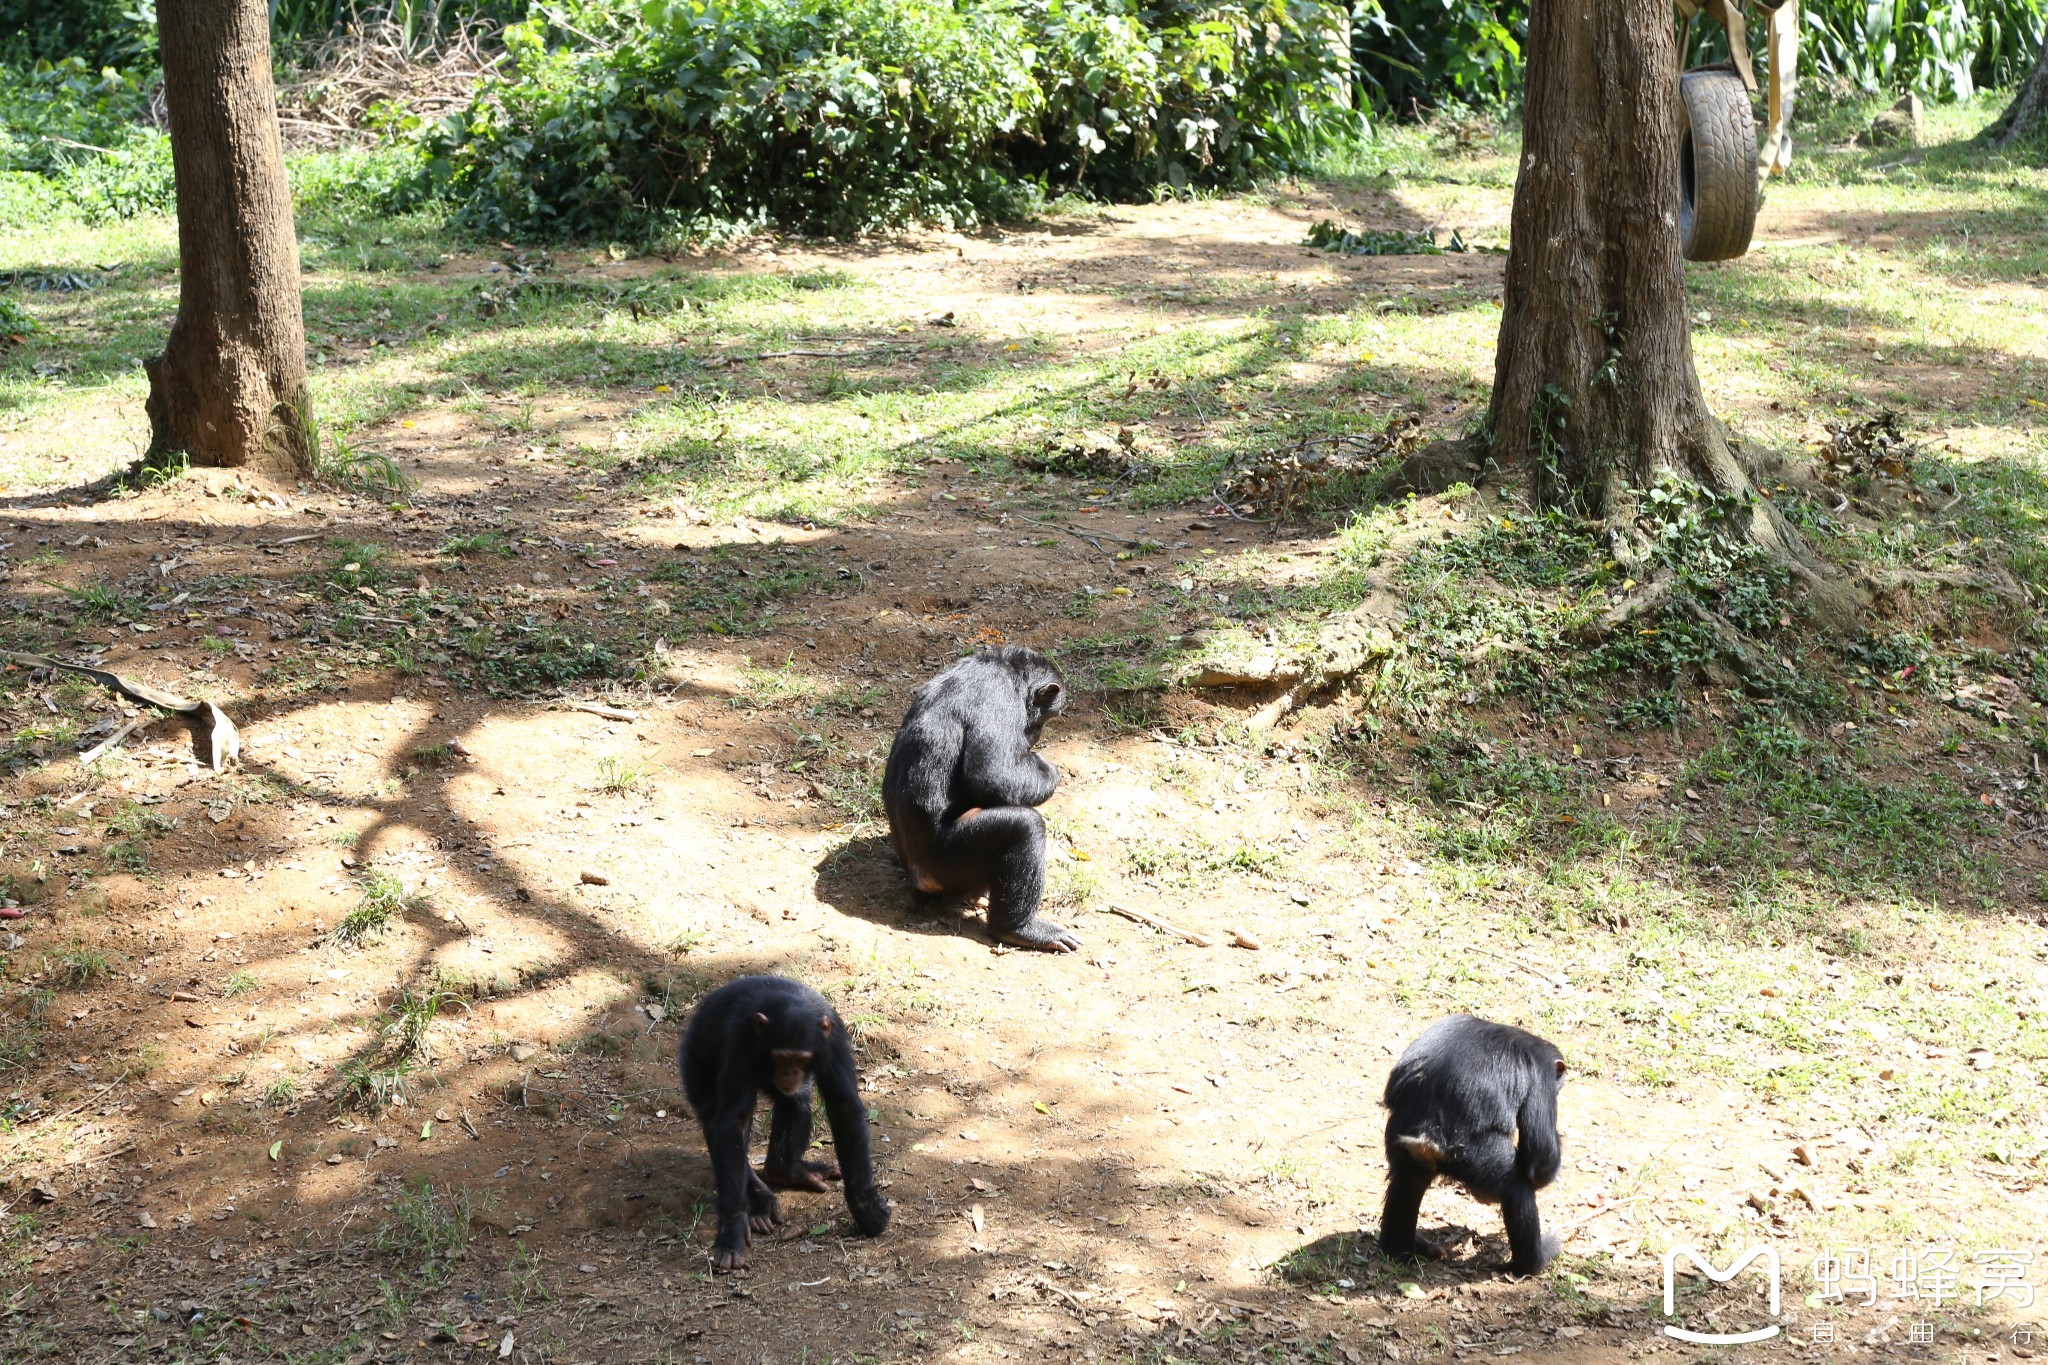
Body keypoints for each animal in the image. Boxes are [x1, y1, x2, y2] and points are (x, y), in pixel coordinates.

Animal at [679, 970, 888, 1268]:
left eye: (801, 1058)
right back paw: (758, 1204)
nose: (789, 1073)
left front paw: (865, 1208)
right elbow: (733, 1122)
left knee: (795, 1101)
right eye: (780, 1056)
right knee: (714, 1117)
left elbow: (843, 1107)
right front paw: (732, 1229)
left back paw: (787, 1172)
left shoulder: (833, 1040)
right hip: (693, 1058)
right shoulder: (740, 1040)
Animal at [876, 650, 1081, 949]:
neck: (1009, 671)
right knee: (1024, 828)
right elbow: (991, 773)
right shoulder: (998, 699)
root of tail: (920, 878)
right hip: (951, 862)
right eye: (1044, 719)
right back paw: (1020, 929)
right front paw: (1047, 770)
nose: (1035, 736)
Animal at [1376, 1015, 1564, 1285]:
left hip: (1400, 1140)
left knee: (1408, 1182)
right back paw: (1534, 1262)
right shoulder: (1542, 1077)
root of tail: (1428, 1135)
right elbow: (1541, 1152)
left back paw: (1403, 1248)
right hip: (1480, 1154)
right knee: (1516, 1189)